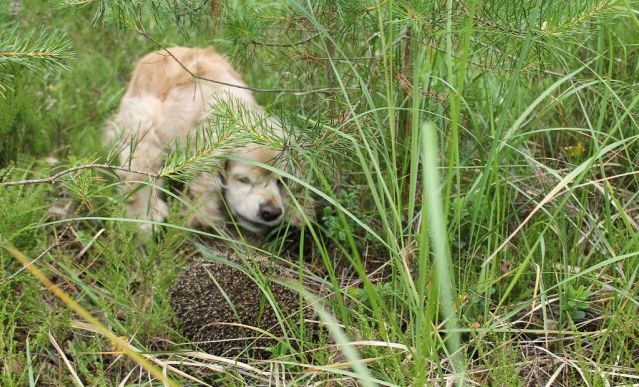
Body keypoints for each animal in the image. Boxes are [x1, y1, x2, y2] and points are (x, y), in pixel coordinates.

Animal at [105, 45, 290, 233]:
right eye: (243, 179)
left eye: (282, 181)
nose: (271, 212)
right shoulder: (146, 128)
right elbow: (140, 177)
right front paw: (145, 218)